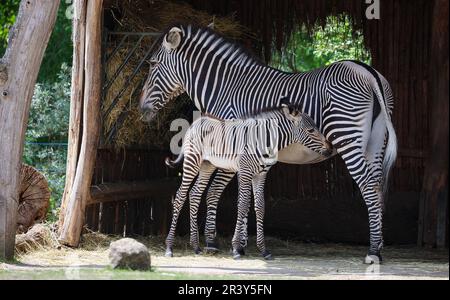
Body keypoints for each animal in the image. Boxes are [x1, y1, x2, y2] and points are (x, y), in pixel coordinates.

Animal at [140, 24, 398, 264]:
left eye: (152, 64)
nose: (141, 110)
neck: (225, 87)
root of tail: (369, 71)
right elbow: (244, 198)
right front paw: (242, 244)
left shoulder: (231, 145)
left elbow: (219, 193)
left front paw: (221, 243)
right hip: (376, 144)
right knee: (377, 185)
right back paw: (379, 245)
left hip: (348, 135)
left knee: (368, 185)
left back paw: (373, 250)